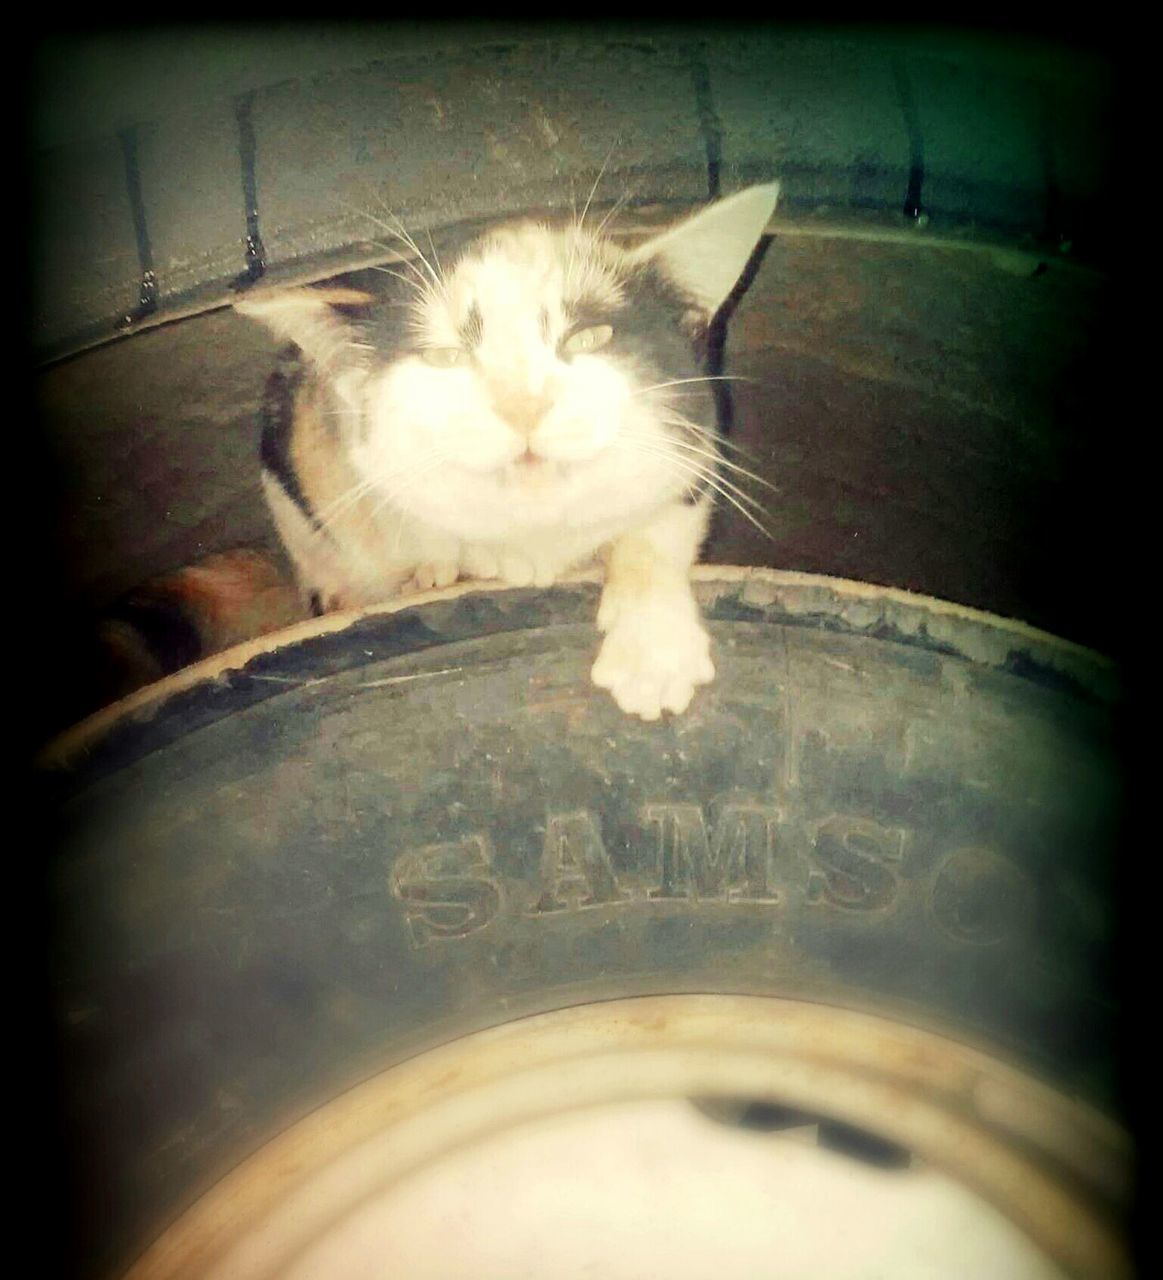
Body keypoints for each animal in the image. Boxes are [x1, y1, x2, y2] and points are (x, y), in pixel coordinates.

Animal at [235, 181, 783, 721]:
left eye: (590, 337)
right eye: (445, 357)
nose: (523, 407)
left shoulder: (695, 451)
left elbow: (658, 528)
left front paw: (651, 654)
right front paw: (438, 574)